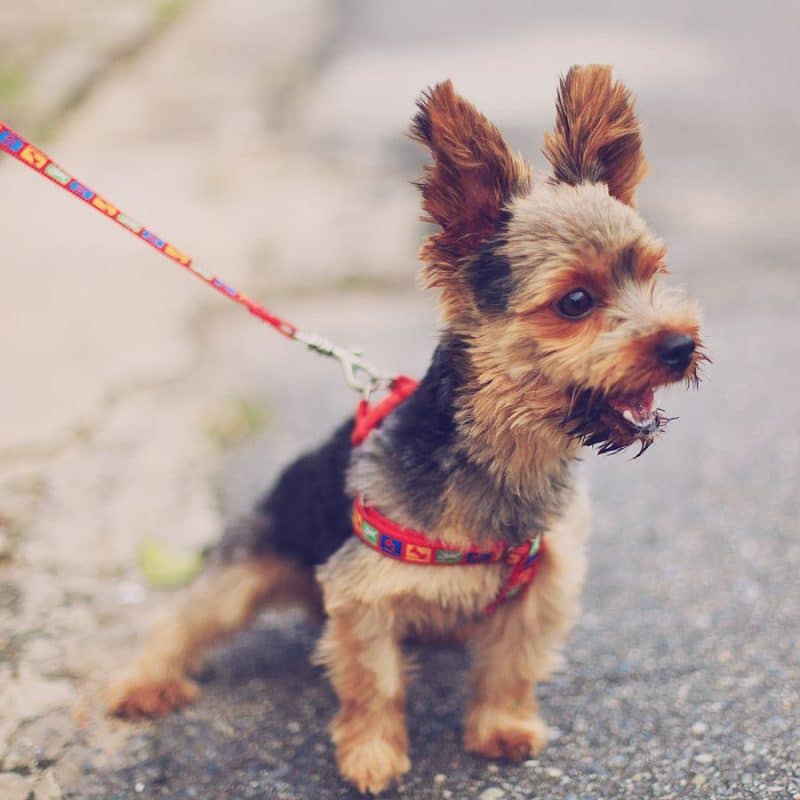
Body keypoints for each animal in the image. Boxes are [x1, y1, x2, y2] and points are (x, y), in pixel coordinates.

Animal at [108, 67, 708, 792]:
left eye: (651, 273)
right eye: (575, 302)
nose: (680, 345)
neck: (506, 453)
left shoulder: (545, 583)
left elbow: (512, 665)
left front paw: (503, 727)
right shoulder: (362, 596)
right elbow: (376, 683)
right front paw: (372, 757)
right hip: (251, 560)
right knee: (185, 619)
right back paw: (142, 684)